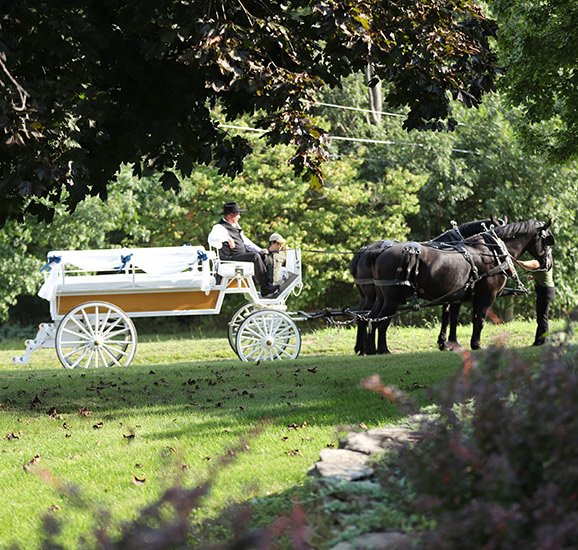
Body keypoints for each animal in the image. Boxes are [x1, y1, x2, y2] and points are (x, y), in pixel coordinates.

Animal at [348, 218, 502, 356]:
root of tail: (365, 251)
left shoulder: (450, 295)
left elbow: (447, 316)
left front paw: (444, 343)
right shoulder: (455, 294)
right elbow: (452, 317)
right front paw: (449, 343)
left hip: (370, 297)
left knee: (364, 317)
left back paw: (362, 349)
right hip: (382, 297)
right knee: (375, 319)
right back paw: (374, 349)